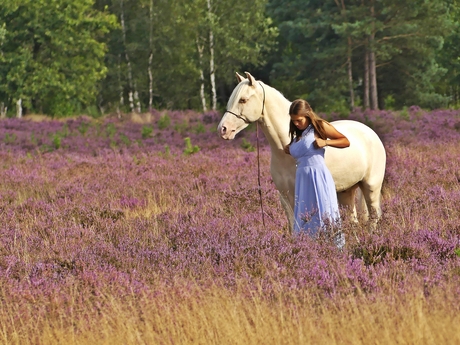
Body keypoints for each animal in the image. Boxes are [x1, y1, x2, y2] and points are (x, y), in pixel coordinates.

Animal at [217, 71, 386, 230]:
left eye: (243, 99)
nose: (223, 129)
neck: (285, 152)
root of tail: (370, 132)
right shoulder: (285, 196)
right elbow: (294, 228)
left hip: (371, 187)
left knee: (374, 216)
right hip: (346, 191)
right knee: (353, 219)